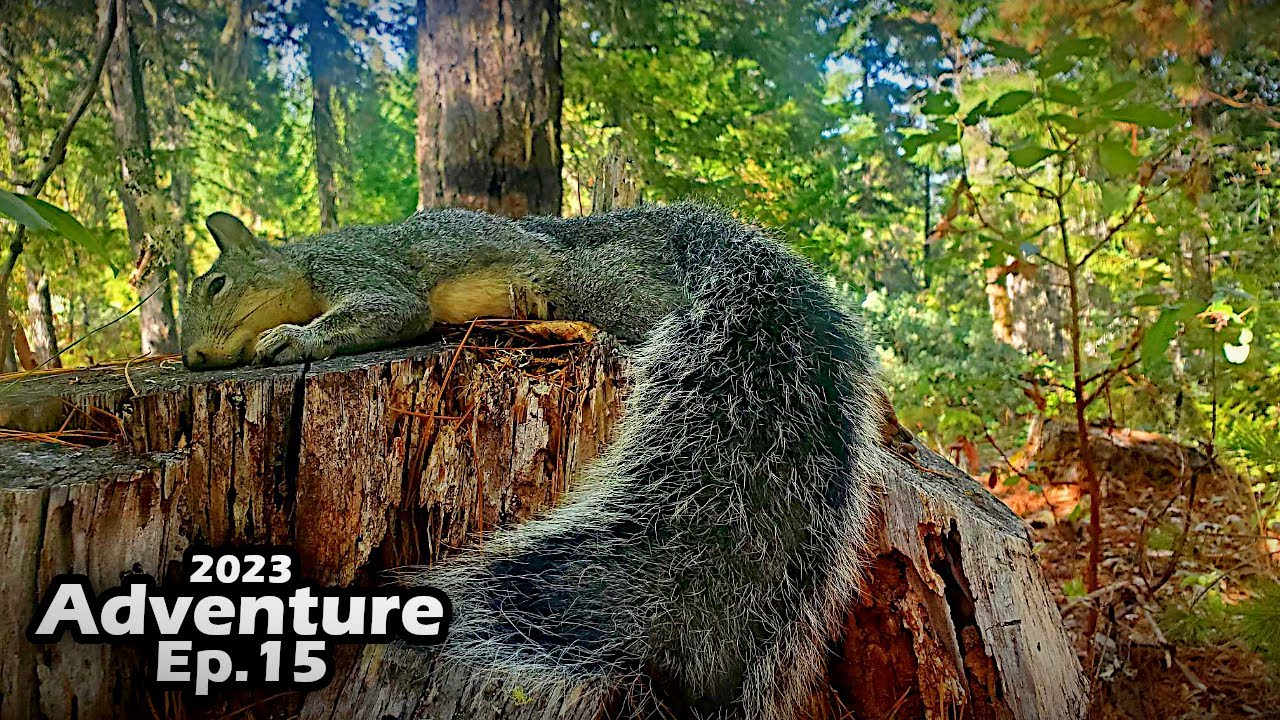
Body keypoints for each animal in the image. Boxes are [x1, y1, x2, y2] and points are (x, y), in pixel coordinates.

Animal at [181, 202, 890, 719]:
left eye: (215, 284)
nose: (190, 358)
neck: (303, 258)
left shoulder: (360, 269)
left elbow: (388, 309)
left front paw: (289, 340)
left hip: (594, 283)